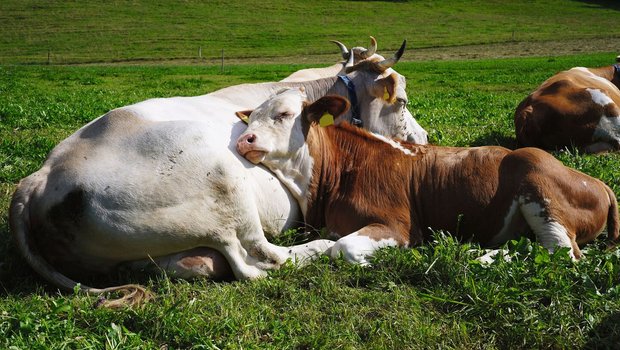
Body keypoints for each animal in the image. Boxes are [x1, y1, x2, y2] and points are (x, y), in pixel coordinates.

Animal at [235, 87, 616, 266]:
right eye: (251, 118)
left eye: (284, 115)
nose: (244, 139)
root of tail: (599, 183)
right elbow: (310, 248)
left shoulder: (399, 224)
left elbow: (343, 247)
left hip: (537, 178)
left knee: (562, 252)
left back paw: (481, 258)